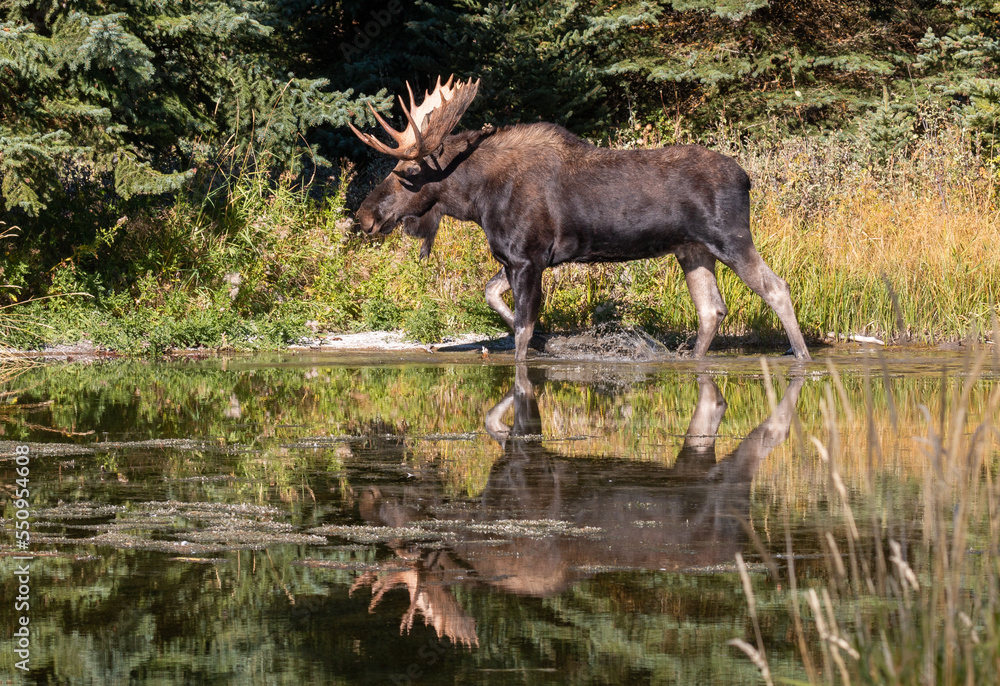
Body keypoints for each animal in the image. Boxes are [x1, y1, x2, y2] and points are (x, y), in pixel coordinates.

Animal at [349, 76, 811, 362]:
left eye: (407, 171)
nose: (364, 216)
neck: (477, 201)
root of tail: (747, 177)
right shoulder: (517, 258)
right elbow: (493, 296)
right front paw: (551, 343)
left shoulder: (527, 258)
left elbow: (522, 330)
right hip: (692, 250)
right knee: (711, 309)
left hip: (731, 237)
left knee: (777, 288)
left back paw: (802, 356)